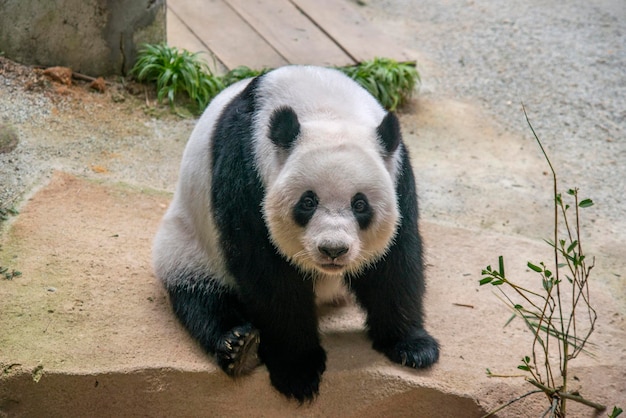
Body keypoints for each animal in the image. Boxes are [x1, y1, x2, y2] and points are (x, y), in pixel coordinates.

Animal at [152, 65, 436, 402]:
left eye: (360, 204)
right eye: (308, 202)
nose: (333, 250)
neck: (324, 105)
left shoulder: (398, 173)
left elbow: (395, 261)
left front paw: (413, 346)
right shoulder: (247, 166)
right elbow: (266, 271)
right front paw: (297, 369)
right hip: (189, 244)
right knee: (201, 297)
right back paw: (238, 345)